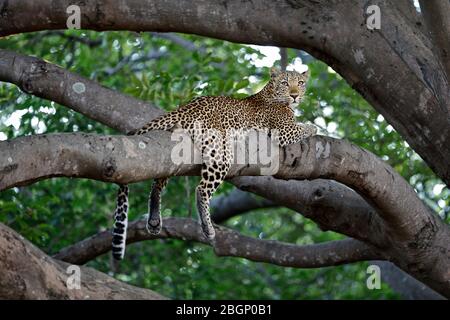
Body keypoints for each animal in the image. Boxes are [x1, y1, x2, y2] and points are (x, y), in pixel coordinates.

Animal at [111, 68, 316, 260]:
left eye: (300, 83)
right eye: (285, 83)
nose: (295, 95)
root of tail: (183, 108)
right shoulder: (283, 130)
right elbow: (304, 128)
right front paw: (313, 127)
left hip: (172, 154)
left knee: (158, 182)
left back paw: (154, 220)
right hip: (221, 152)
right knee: (201, 189)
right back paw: (207, 228)